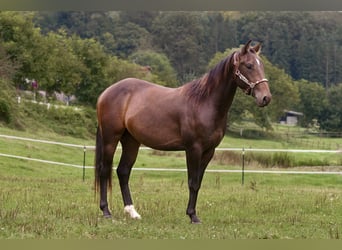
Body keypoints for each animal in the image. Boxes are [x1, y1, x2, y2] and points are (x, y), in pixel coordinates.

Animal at [95, 40, 272, 224]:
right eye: (249, 65)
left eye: (261, 65)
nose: (266, 97)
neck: (204, 102)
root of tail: (106, 92)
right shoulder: (193, 149)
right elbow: (192, 182)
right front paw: (192, 216)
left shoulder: (209, 151)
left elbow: (198, 182)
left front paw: (193, 214)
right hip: (110, 139)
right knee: (104, 170)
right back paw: (106, 211)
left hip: (131, 141)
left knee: (123, 172)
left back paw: (132, 212)